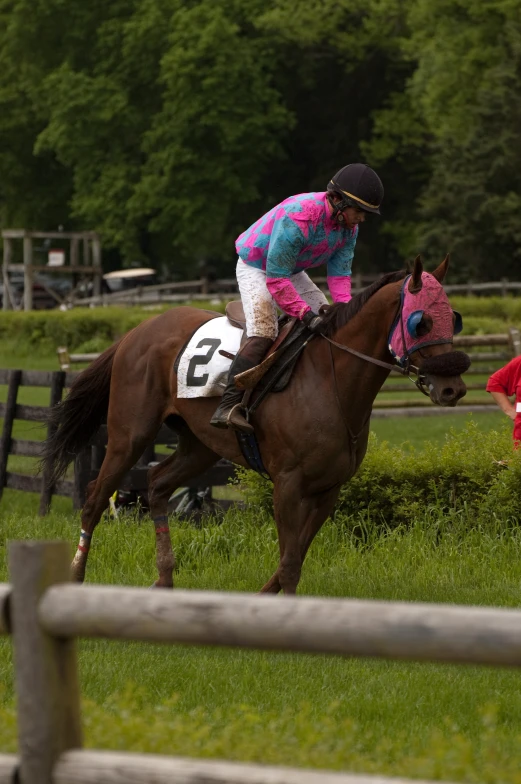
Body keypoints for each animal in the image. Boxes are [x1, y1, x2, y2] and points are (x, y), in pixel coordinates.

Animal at [43, 258, 468, 596]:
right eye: (421, 321)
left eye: (454, 318)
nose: (453, 387)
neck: (330, 381)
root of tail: (136, 331)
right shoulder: (288, 483)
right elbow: (291, 561)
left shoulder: (329, 488)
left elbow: (294, 555)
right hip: (129, 435)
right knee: (95, 499)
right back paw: (76, 577)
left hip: (200, 445)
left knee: (158, 483)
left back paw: (164, 578)